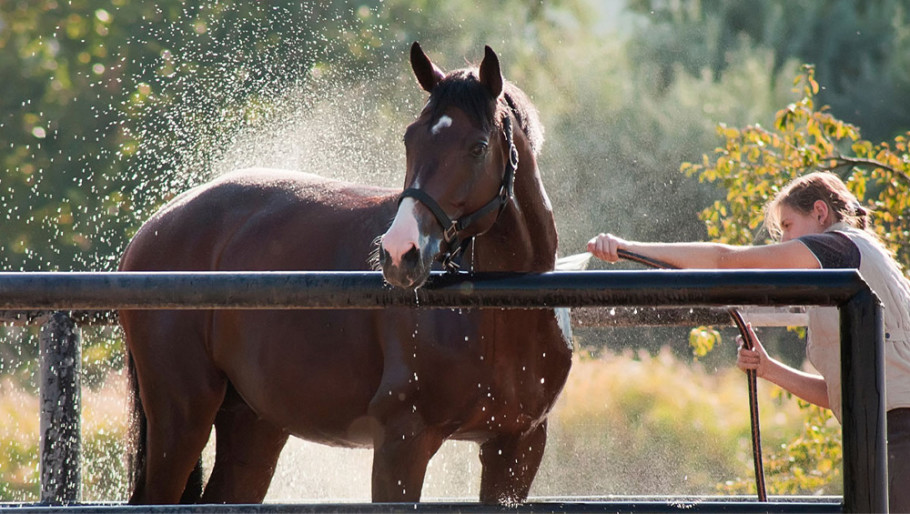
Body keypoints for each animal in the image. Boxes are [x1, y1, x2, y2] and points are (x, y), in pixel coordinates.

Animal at [118, 42, 572, 502]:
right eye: (409, 139)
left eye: (478, 147)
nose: (400, 252)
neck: (500, 311)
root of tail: (156, 225)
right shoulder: (401, 442)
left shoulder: (516, 448)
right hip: (182, 418)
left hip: (252, 424)